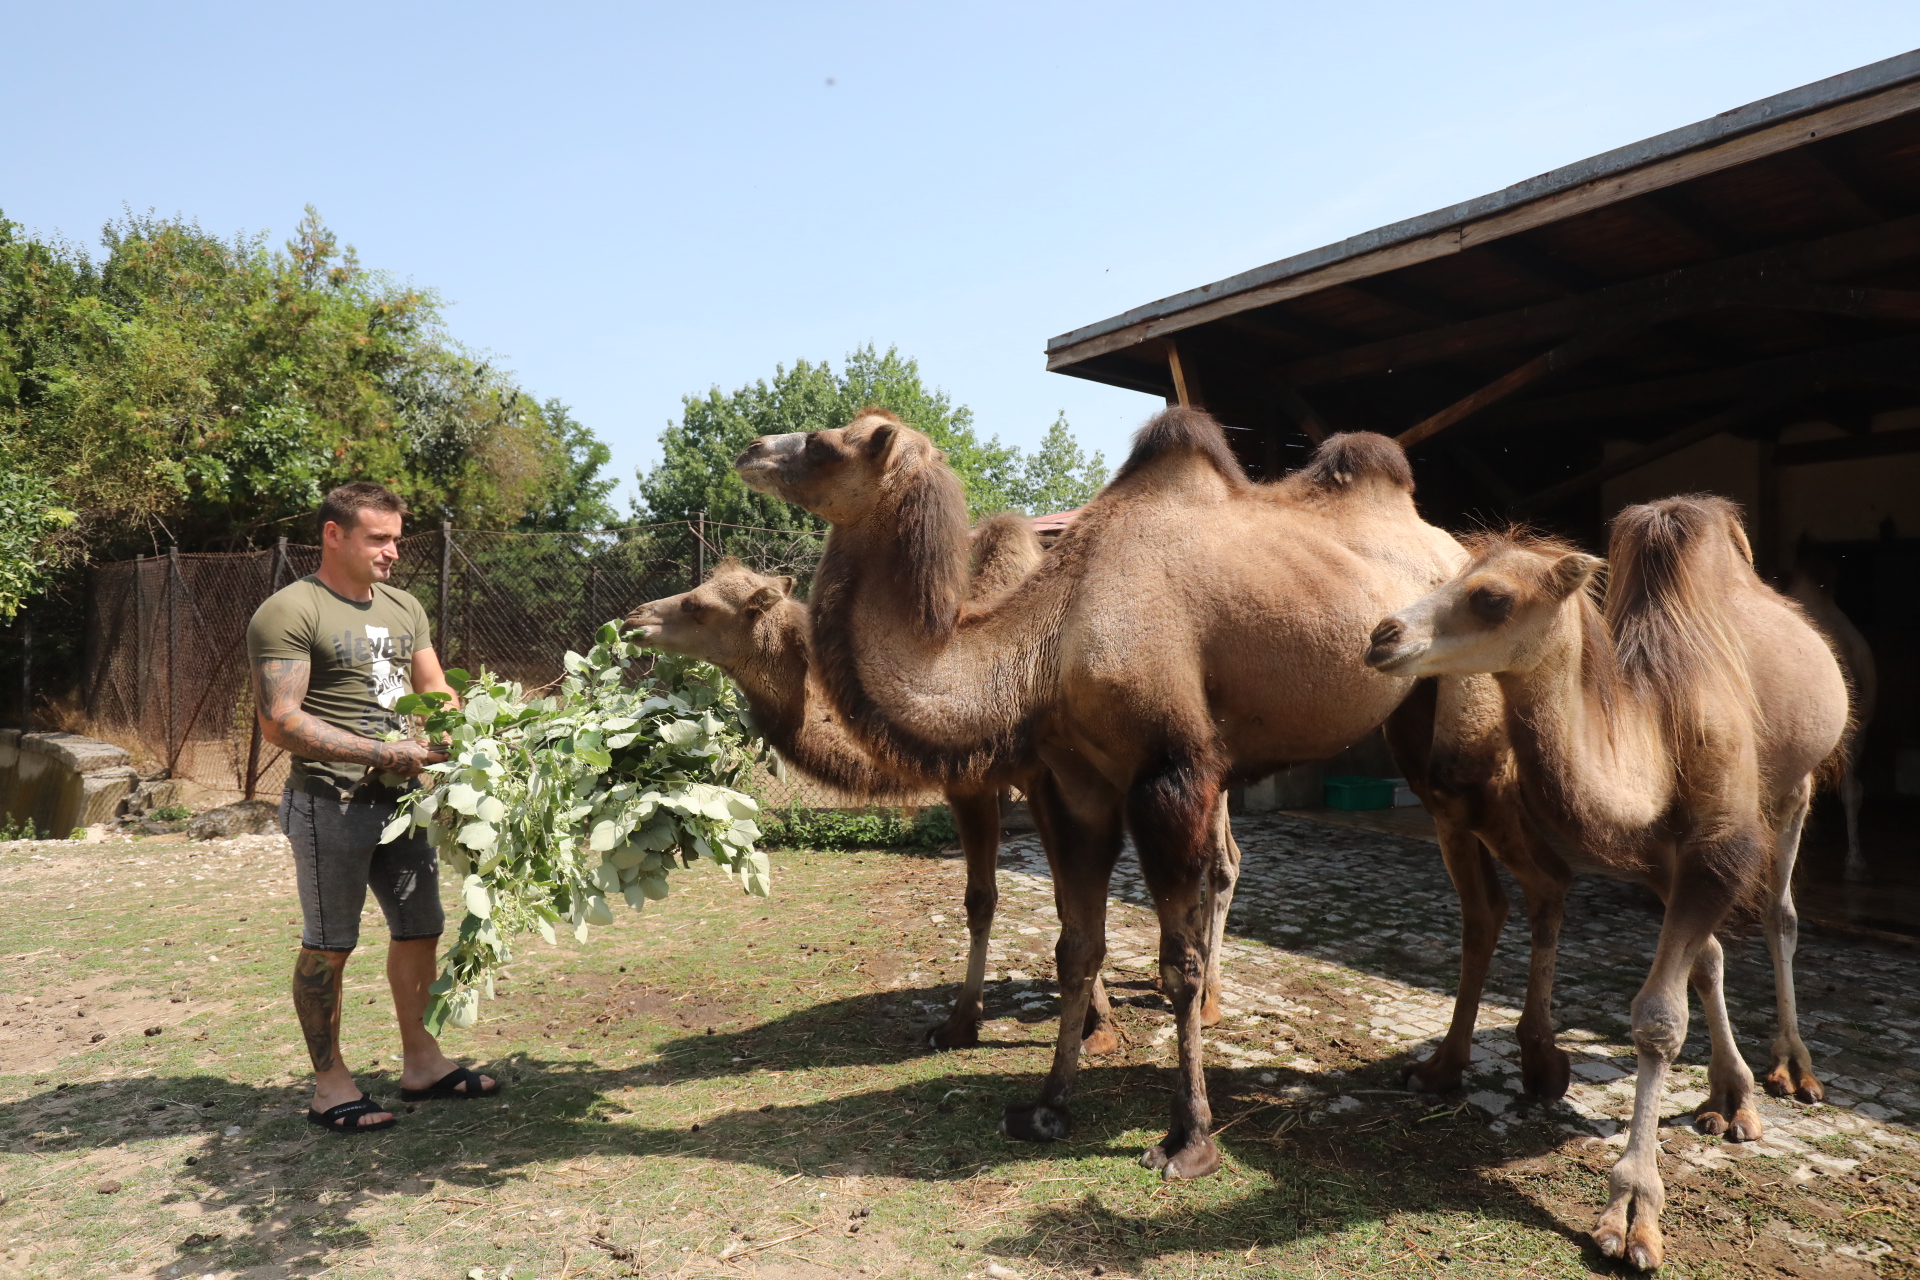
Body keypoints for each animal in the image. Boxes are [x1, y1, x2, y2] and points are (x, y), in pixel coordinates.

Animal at [737, 404, 1497, 1174]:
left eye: (825, 444)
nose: (751, 448)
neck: (1049, 642)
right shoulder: (1079, 785)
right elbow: (1076, 946)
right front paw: (1047, 1106)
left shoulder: (1167, 778)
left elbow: (1178, 963)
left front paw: (1188, 1138)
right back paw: (1451, 1070)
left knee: (1491, 886)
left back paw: (1450, 1070)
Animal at [1367, 495, 1843, 1274]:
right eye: (1448, 576)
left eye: (1492, 598)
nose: (1383, 635)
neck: (1656, 736)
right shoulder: (1658, 860)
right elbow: (1701, 965)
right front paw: (1728, 1098)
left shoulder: (1720, 846)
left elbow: (1658, 1018)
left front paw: (1632, 1215)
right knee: (1717, 953)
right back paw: (1732, 1092)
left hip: (1795, 785)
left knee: (1782, 915)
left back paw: (1793, 1070)